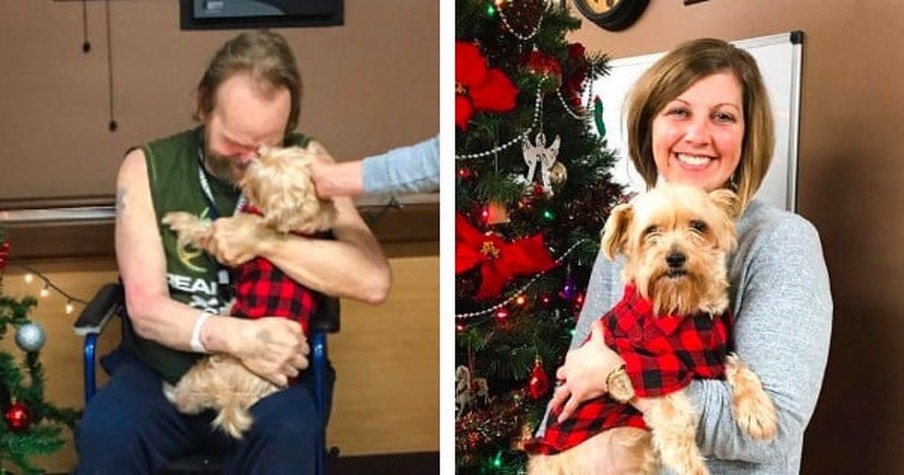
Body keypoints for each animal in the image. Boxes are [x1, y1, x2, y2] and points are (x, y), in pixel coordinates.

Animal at [159, 144, 336, 438]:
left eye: (259, 178)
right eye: (280, 150)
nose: (259, 151)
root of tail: (233, 397)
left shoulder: (228, 236)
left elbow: (202, 228)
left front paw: (177, 219)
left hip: (201, 376)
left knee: (187, 399)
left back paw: (171, 392)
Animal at [528, 184, 780, 475]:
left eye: (698, 226)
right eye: (651, 231)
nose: (675, 257)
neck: (683, 308)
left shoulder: (715, 359)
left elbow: (741, 368)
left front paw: (757, 411)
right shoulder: (649, 370)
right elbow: (676, 419)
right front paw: (693, 468)